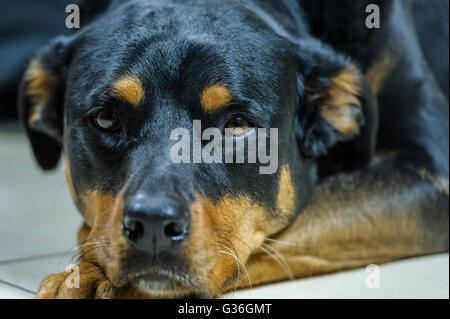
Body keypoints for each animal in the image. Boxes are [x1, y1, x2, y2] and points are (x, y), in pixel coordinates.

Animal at [16, 0, 446, 300]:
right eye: (106, 118)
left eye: (237, 125)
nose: (153, 224)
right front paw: (89, 269)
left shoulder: (430, 175)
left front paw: (92, 278)